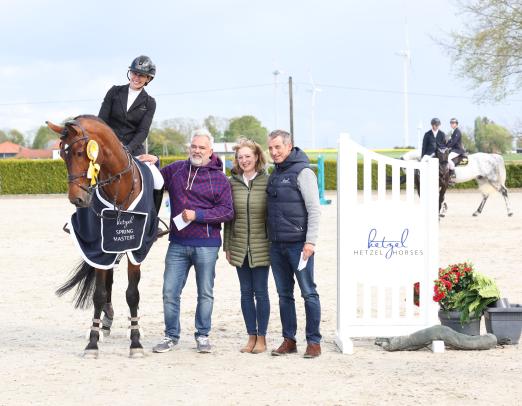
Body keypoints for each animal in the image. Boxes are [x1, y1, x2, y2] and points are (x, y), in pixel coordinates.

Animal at [47, 115, 157, 358]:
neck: (119, 185)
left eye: (80, 152)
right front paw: (92, 342)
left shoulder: (134, 247)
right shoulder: (99, 247)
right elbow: (98, 294)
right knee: (108, 282)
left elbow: (132, 293)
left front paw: (135, 341)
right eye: (62, 155)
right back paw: (106, 323)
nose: (77, 199)